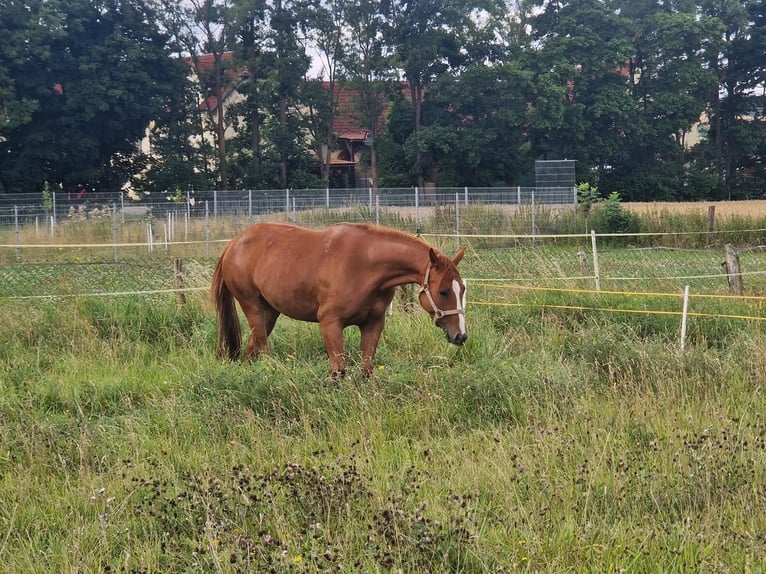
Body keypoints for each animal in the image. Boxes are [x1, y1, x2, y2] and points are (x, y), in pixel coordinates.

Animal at [211, 222, 467, 377]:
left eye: (462, 289)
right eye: (443, 291)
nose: (461, 335)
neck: (366, 265)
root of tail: (233, 244)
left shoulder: (373, 325)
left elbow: (366, 371)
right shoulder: (330, 324)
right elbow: (339, 372)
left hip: (270, 313)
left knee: (251, 352)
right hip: (253, 308)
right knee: (262, 350)